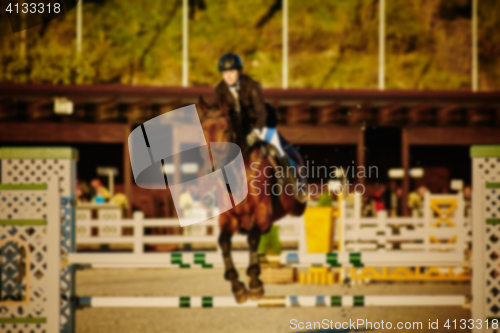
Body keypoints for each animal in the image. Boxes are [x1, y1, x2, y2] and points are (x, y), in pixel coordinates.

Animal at [197, 97, 306, 302]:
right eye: (204, 129)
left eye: (226, 129)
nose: (212, 167)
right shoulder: (229, 218)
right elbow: (224, 242)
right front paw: (237, 286)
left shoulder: (263, 213)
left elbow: (253, 238)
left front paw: (255, 284)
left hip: (295, 206)